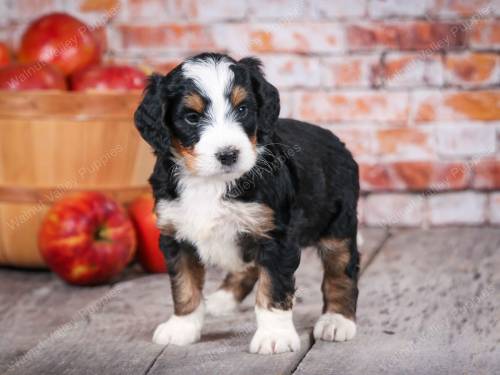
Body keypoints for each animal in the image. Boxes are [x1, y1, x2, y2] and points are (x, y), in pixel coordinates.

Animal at [133, 53, 360, 356]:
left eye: (242, 109)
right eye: (192, 117)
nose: (228, 154)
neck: (212, 182)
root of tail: (337, 141)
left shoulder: (275, 235)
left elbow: (273, 287)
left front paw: (274, 336)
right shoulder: (175, 234)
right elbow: (184, 284)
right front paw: (181, 326)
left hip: (338, 223)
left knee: (341, 270)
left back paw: (337, 320)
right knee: (247, 267)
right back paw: (221, 300)